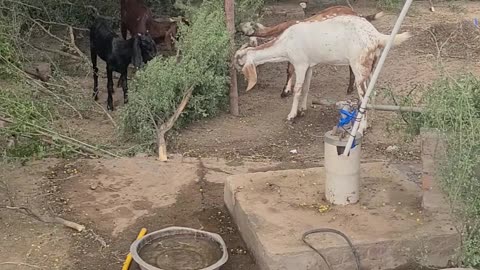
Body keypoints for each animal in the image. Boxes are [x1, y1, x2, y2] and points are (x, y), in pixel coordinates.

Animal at [234, 14, 410, 134]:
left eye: (239, 61)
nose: (234, 71)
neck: (285, 44)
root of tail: (376, 36)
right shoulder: (309, 65)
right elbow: (306, 87)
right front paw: (302, 110)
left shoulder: (300, 64)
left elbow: (297, 89)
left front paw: (292, 115)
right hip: (371, 65)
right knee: (373, 92)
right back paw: (370, 123)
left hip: (359, 66)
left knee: (364, 95)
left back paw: (362, 128)